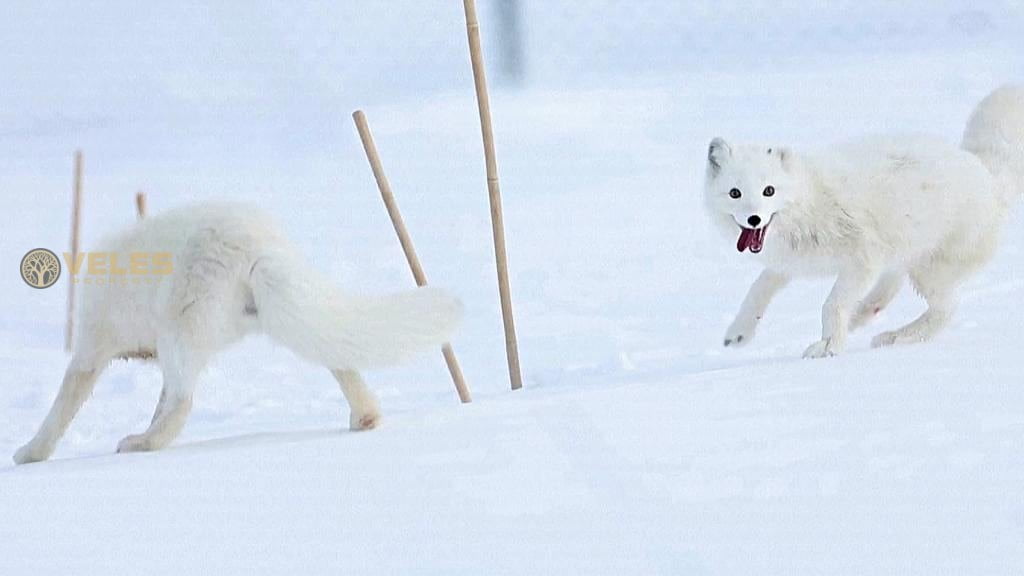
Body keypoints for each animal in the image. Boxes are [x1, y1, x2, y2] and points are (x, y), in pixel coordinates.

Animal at [14, 201, 462, 461]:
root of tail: (257, 245)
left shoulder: (91, 348)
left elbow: (60, 410)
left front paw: (29, 453)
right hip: (278, 316)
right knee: (339, 358)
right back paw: (365, 417)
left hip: (179, 331)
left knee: (183, 404)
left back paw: (141, 443)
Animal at [704, 84, 1024, 358]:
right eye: (735, 193)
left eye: (768, 191)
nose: (754, 219)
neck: (809, 199)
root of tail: (987, 173)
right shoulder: (791, 261)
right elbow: (758, 288)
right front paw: (739, 333)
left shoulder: (863, 260)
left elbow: (832, 304)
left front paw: (829, 346)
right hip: (904, 257)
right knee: (890, 291)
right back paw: (862, 317)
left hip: (928, 269)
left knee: (947, 309)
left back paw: (894, 337)